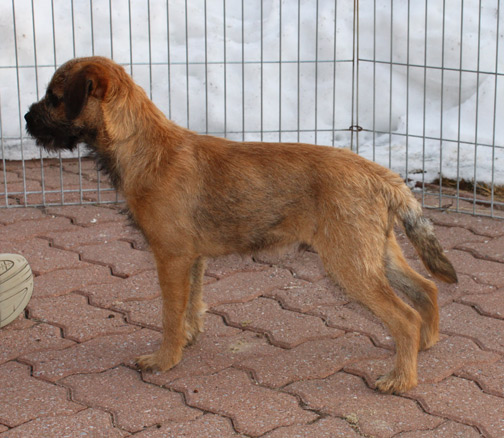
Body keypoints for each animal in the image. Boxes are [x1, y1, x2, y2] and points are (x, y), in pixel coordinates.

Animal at [25, 56, 457, 394]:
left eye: (55, 98)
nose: (27, 117)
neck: (144, 145)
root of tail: (382, 175)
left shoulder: (171, 258)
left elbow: (169, 314)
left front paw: (164, 359)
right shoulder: (192, 260)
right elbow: (192, 305)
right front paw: (188, 339)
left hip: (349, 263)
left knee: (404, 316)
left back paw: (401, 378)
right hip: (376, 251)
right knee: (427, 288)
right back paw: (426, 345)